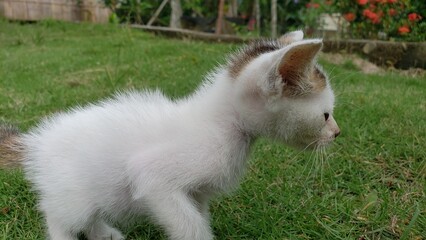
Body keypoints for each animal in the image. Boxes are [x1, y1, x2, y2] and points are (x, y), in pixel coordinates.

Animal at [0, 31, 340, 239]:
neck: (221, 124)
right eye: (325, 115)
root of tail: (36, 142)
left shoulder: (197, 192)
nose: (337, 133)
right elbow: (190, 226)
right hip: (71, 193)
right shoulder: (152, 177)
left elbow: (198, 215)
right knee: (59, 216)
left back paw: (105, 233)